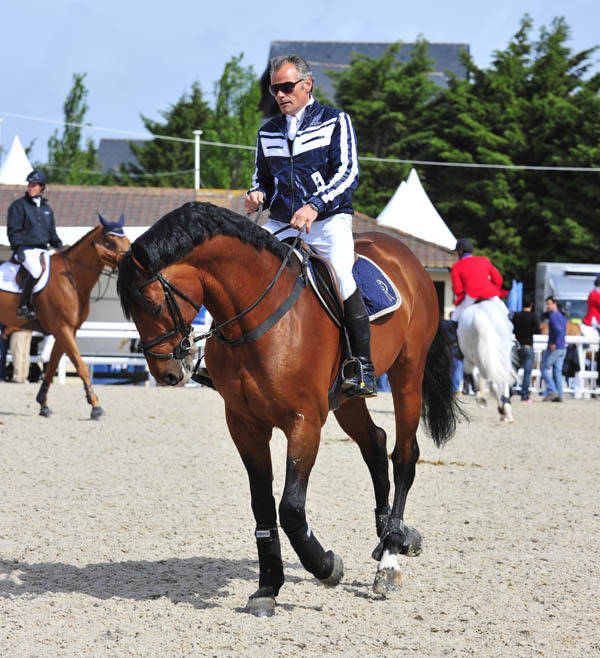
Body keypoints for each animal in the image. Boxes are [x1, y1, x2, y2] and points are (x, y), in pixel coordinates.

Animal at [0, 218, 131, 418]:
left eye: (128, 241)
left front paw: (43, 404)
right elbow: (81, 366)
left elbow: (52, 365)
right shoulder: (63, 329)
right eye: (111, 242)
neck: (71, 278)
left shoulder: (66, 330)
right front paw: (95, 405)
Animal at [98, 202, 462, 612]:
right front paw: (267, 587)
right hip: (346, 400)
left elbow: (289, 507)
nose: (167, 374)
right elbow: (262, 504)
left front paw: (326, 566)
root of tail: (405, 255)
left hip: (407, 375)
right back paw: (389, 532)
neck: (257, 319)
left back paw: (390, 558)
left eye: (155, 303)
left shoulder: (304, 422)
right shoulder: (244, 425)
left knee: (403, 456)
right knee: (374, 444)